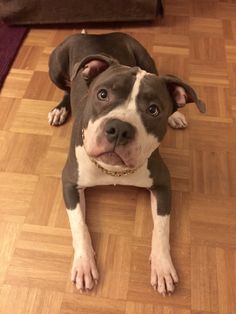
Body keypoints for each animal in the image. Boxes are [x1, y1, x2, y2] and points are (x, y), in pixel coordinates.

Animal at [48, 30, 205, 296]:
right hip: (56, 66)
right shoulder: (70, 183)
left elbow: (162, 228)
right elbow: (79, 225)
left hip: (147, 59)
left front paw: (162, 267)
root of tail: (96, 34)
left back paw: (176, 115)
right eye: (102, 94)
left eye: (153, 110)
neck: (114, 171)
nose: (119, 129)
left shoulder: (162, 184)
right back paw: (60, 109)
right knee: (67, 89)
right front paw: (84, 264)